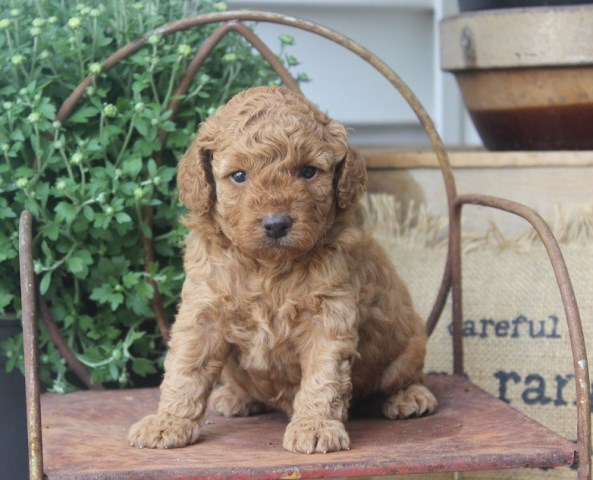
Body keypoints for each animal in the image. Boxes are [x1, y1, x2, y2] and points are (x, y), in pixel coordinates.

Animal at [130, 84, 434, 452]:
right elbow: (186, 369)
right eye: (239, 176)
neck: (267, 268)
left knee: (406, 376)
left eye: (308, 171)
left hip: (409, 344)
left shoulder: (330, 314)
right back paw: (237, 397)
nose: (277, 224)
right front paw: (168, 422)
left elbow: (323, 376)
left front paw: (315, 426)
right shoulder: (203, 310)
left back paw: (409, 397)